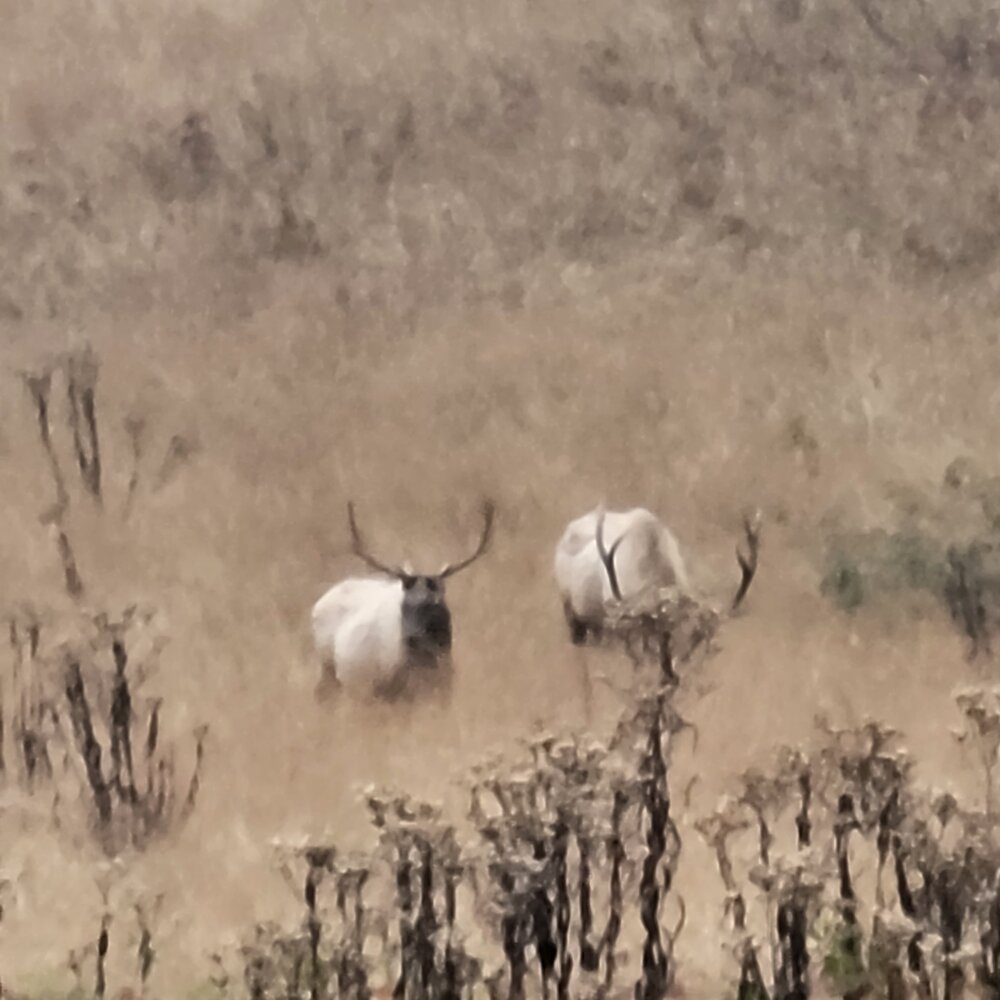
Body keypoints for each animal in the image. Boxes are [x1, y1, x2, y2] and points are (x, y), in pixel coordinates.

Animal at [312, 500, 495, 700]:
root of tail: (318, 603)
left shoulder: (443, 691)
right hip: (330, 672)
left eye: (433, 603)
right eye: (405, 604)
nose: (411, 637)